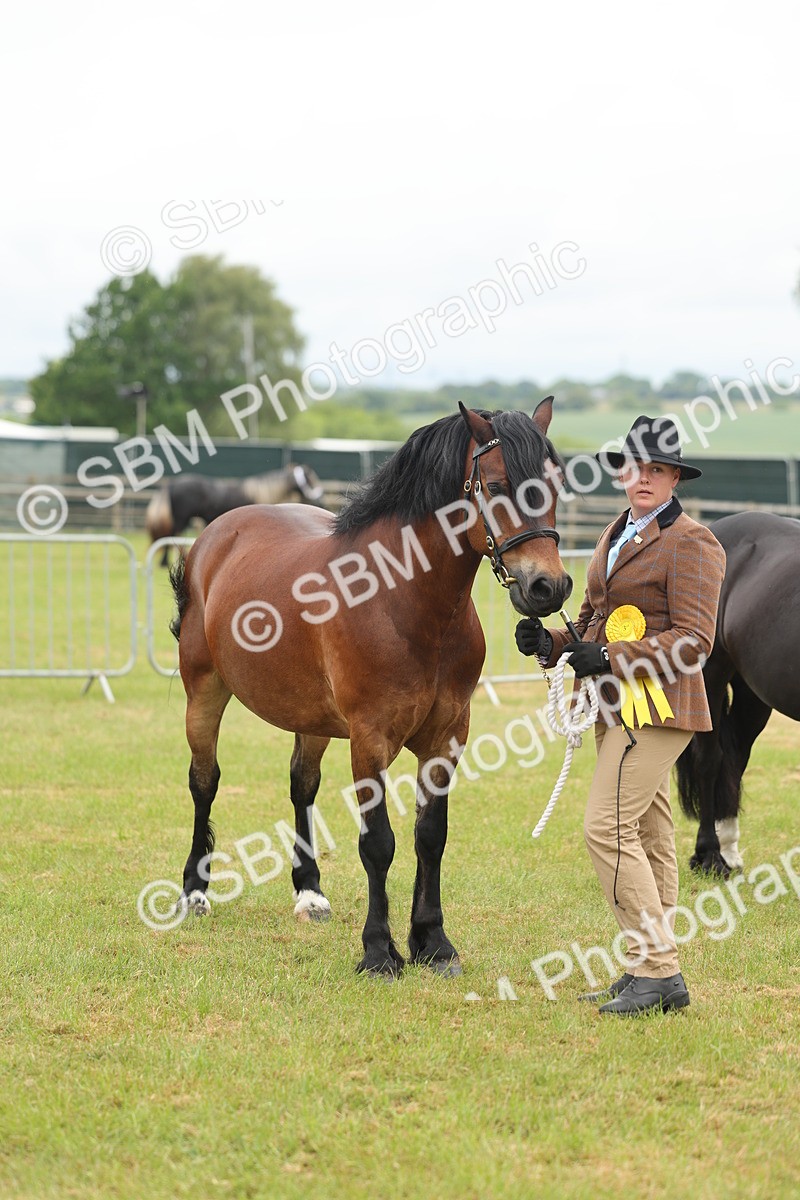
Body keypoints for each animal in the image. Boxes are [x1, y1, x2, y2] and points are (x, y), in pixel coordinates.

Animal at [169, 400, 572, 977]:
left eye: (555, 484)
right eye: (496, 486)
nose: (549, 587)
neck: (405, 602)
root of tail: (217, 534)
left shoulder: (448, 737)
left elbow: (431, 836)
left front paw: (433, 942)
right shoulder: (370, 739)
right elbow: (378, 842)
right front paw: (380, 951)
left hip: (310, 719)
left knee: (302, 786)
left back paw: (310, 893)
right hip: (203, 692)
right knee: (204, 781)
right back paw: (195, 891)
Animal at [676, 511, 800, 875]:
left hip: (752, 692)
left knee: (736, 757)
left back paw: (729, 849)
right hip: (710, 675)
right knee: (710, 760)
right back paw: (710, 855)